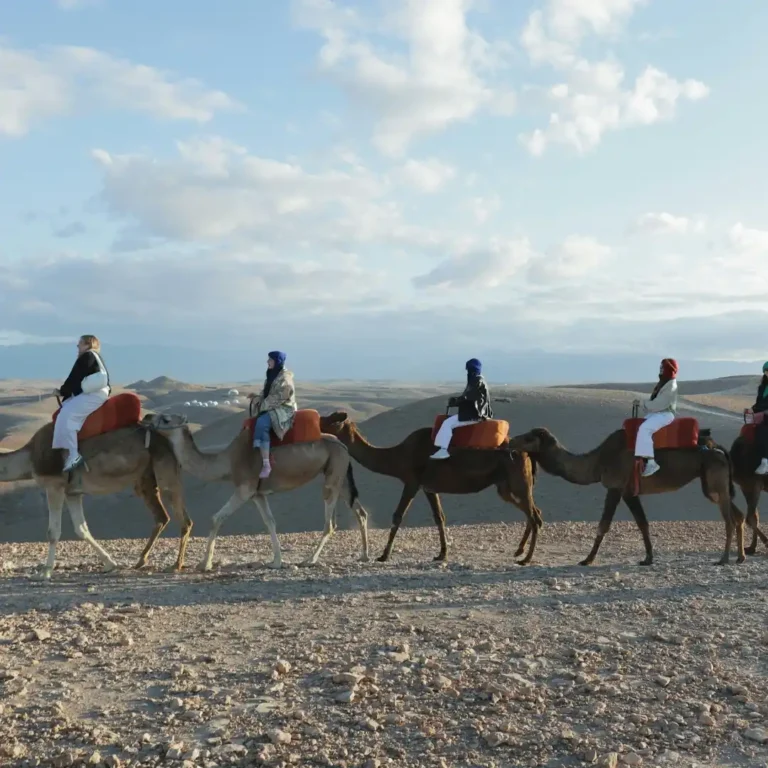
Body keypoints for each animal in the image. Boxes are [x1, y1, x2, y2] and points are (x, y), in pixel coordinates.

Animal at [0, 420, 191, 579]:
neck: (29, 457)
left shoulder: (55, 485)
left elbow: (53, 532)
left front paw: (45, 572)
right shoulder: (72, 493)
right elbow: (81, 529)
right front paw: (110, 564)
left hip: (164, 469)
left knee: (181, 517)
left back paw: (175, 565)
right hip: (145, 478)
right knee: (162, 516)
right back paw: (141, 561)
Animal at [143, 413, 370, 571]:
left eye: (165, 418)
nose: (146, 418)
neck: (228, 461)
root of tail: (342, 445)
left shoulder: (245, 488)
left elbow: (217, 518)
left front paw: (204, 564)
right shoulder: (257, 494)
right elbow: (270, 522)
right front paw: (276, 561)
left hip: (334, 473)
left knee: (330, 522)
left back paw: (310, 559)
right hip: (340, 474)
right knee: (360, 511)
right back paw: (365, 555)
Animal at [319, 412, 541, 564]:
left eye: (331, 419)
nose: (318, 420)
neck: (398, 456)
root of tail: (527, 452)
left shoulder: (412, 482)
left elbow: (398, 516)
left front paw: (384, 555)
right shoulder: (429, 487)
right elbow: (439, 517)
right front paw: (442, 554)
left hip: (517, 481)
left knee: (534, 516)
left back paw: (527, 558)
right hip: (505, 486)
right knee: (534, 512)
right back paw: (519, 551)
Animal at [507, 427, 745, 566]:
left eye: (528, 437)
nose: (509, 441)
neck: (597, 461)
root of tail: (718, 446)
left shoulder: (615, 486)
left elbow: (603, 525)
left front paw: (587, 559)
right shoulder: (629, 491)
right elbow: (642, 523)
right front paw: (648, 558)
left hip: (714, 478)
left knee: (729, 519)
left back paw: (724, 558)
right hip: (712, 484)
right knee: (738, 515)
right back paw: (740, 556)